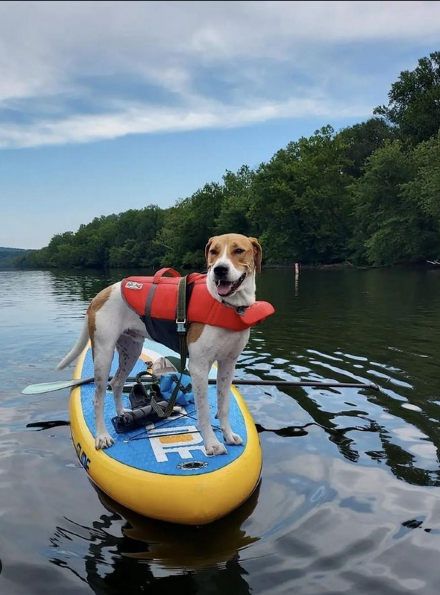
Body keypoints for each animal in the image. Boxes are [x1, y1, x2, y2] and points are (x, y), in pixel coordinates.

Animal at [58, 233, 268, 456]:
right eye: (214, 251)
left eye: (239, 250)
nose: (219, 269)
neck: (228, 306)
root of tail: (100, 294)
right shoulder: (199, 367)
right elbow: (204, 411)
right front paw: (211, 443)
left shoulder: (228, 365)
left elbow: (224, 405)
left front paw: (227, 435)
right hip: (103, 356)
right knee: (97, 398)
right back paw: (102, 436)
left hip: (131, 351)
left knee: (116, 383)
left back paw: (123, 413)